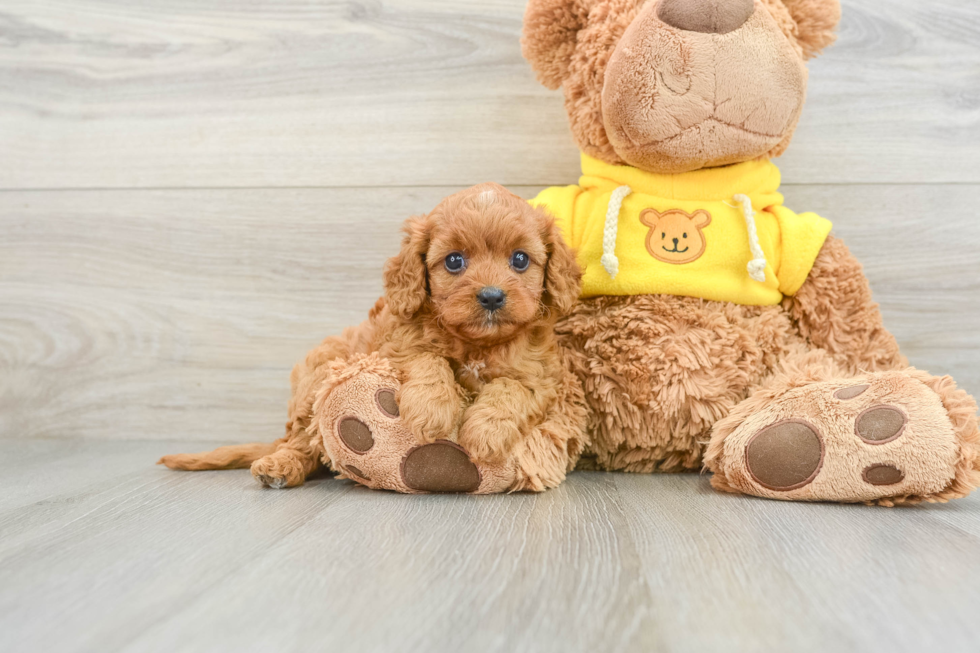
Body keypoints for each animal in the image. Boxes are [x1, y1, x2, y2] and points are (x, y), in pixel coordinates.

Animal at [161, 181, 584, 492]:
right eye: (454, 261)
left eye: (520, 259)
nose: (492, 296)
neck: (475, 342)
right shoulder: (396, 345)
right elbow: (427, 357)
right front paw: (432, 407)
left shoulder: (539, 375)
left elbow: (510, 389)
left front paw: (485, 432)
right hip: (317, 378)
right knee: (304, 442)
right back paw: (280, 466)